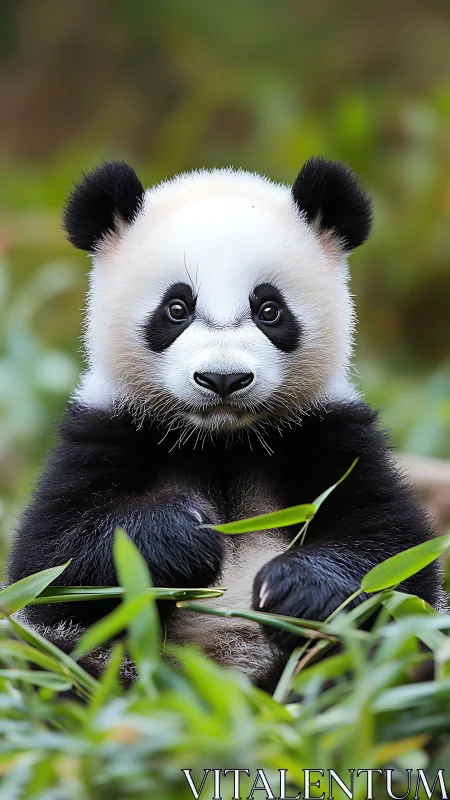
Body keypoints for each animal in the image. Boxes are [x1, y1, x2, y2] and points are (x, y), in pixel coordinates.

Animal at [8, 158, 446, 691]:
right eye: (176, 308)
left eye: (269, 310)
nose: (223, 378)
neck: (221, 439)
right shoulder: (106, 429)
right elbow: (51, 559)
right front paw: (183, 534)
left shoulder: (330, 432)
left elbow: (393, 553)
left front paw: (296, 587)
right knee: (53, 661)